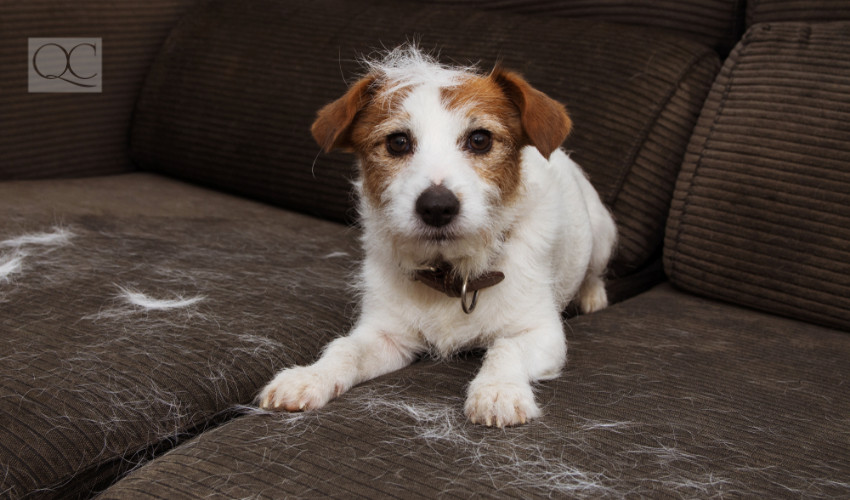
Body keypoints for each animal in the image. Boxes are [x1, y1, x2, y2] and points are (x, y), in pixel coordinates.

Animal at [258, 46, 616, 426]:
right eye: (398, 142)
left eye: (480, 139)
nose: (437, 206)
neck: (452, 274)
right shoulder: (386, 335)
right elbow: (345, 349)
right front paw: (309, 377)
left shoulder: (541, 333)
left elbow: (507, 348)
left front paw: (498, 390)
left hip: (602, 234)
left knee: (594, 271)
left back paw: (592, 297)